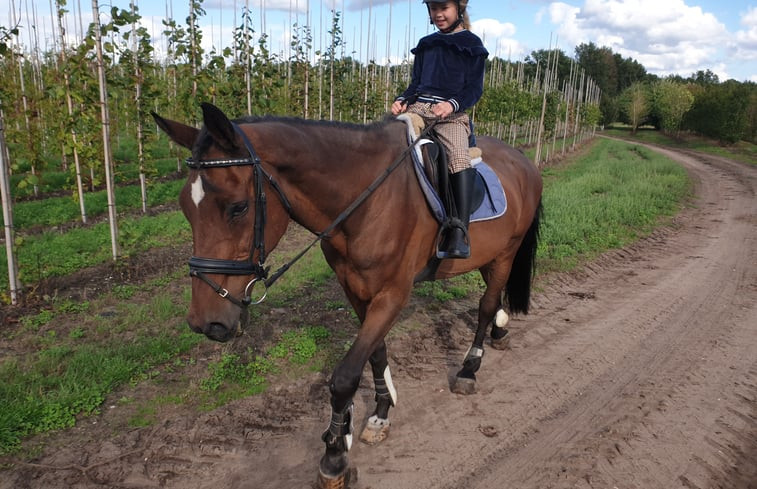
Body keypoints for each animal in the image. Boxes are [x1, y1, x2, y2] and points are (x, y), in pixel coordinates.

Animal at [152, 103, 544, 488]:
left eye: (238, 207)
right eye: (185, 208)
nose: (206, 322)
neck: (366, 201)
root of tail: (523, 160)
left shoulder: (392, 294)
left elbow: (345, 376)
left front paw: (335, 454)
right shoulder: (355, 289)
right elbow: (376, 354)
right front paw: (380, 414)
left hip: (507, 251)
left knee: (486, 304)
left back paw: (469, 369)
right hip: (491, 253)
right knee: (493, 294)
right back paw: (500, 330)